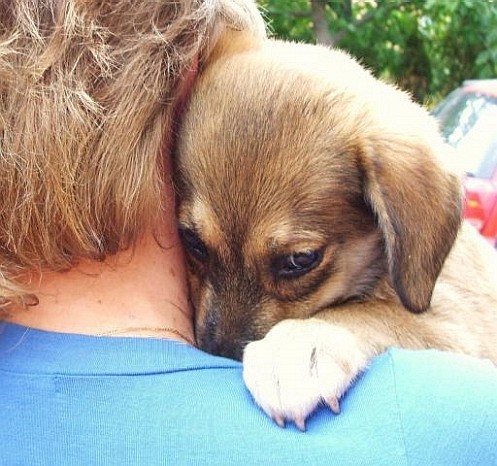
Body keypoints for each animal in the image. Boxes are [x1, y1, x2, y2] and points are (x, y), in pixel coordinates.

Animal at [171, 29, 496, 430]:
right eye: (192, 242)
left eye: (299, 260)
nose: (219, 356)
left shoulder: (463, 323)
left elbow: (375, 312)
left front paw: (295, 348)